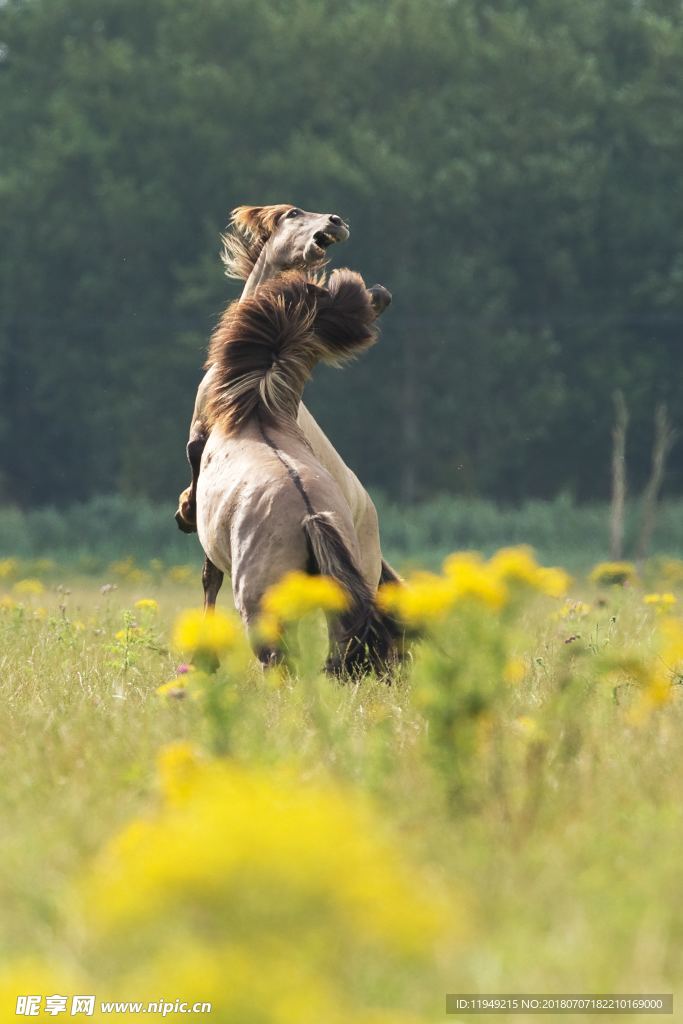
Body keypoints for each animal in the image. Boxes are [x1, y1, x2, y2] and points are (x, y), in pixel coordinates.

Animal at [194, 268, 393, 675]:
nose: (383, 294)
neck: (257, 415)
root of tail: (311, 516)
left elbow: (209, 576)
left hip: (260, 606)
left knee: (277, 659)